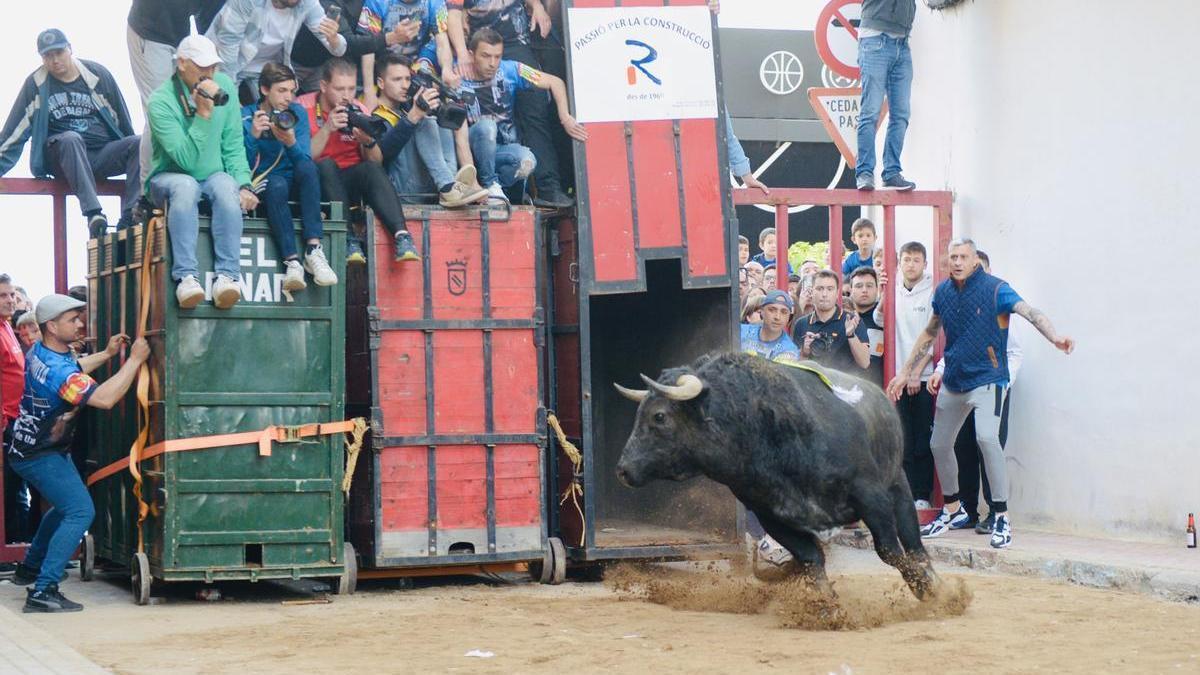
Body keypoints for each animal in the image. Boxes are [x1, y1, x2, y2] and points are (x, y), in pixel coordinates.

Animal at [614, 348, 940, 595]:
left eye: (659, 416)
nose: (623, 470)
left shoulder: (870, 496)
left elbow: (889, 550)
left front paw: (927, 590)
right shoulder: (771, 516)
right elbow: (811, 558)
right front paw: (825, 605)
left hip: (898, 485)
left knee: (913, 543)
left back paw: (934, 581)